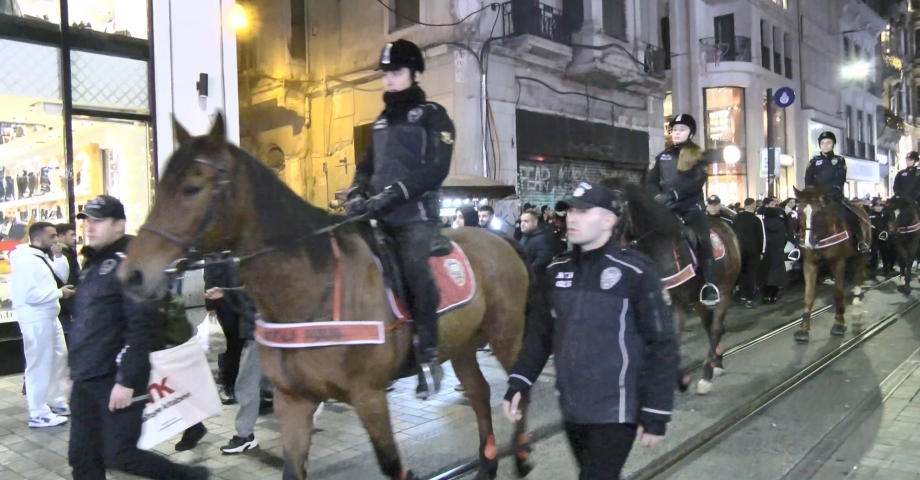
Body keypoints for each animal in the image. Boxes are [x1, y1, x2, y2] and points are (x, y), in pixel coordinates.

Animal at [117, 116, 532, 480]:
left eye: (192, 187)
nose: (132, 274)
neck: (313, 290)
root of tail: (500, 240)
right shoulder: (293, 403)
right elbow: (292, 468)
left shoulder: (369, 397)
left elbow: (392, 465)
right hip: (463, 344)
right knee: (479, 393)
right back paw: (489, 462)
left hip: (506, 335)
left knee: (518, 387)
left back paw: (522, 455)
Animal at [596, 178, 740, 396]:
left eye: (616, 208)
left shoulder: (675, 304)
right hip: (698, 300)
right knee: (709, 326)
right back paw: (717, 364)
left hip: (725, 289)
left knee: (716, 328)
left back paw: (706, 376)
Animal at [796, 186, 868, 344]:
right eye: (799, 212)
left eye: (818, 212)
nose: (809, 243)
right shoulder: (810, 264)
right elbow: (809, 295)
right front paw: (803, 329)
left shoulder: (838, 262)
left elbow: (837, 292)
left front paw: (839, 323)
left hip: (860, 256)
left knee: (858, 275)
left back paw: (856, 299)